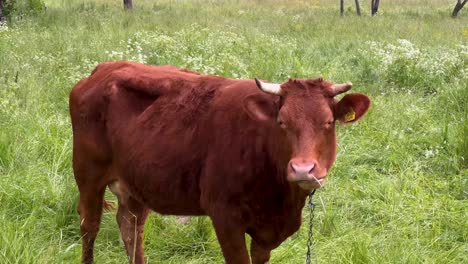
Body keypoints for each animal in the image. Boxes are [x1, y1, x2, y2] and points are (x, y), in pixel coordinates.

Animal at [68, 60, 370, 262]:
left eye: (328, 122)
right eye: (282, 122)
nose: (303, 169)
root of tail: (105, 68)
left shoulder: (267, 232)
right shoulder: (225, 217)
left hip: (136, 184)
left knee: (131, 228)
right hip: (88, 175)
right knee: (89, 226)